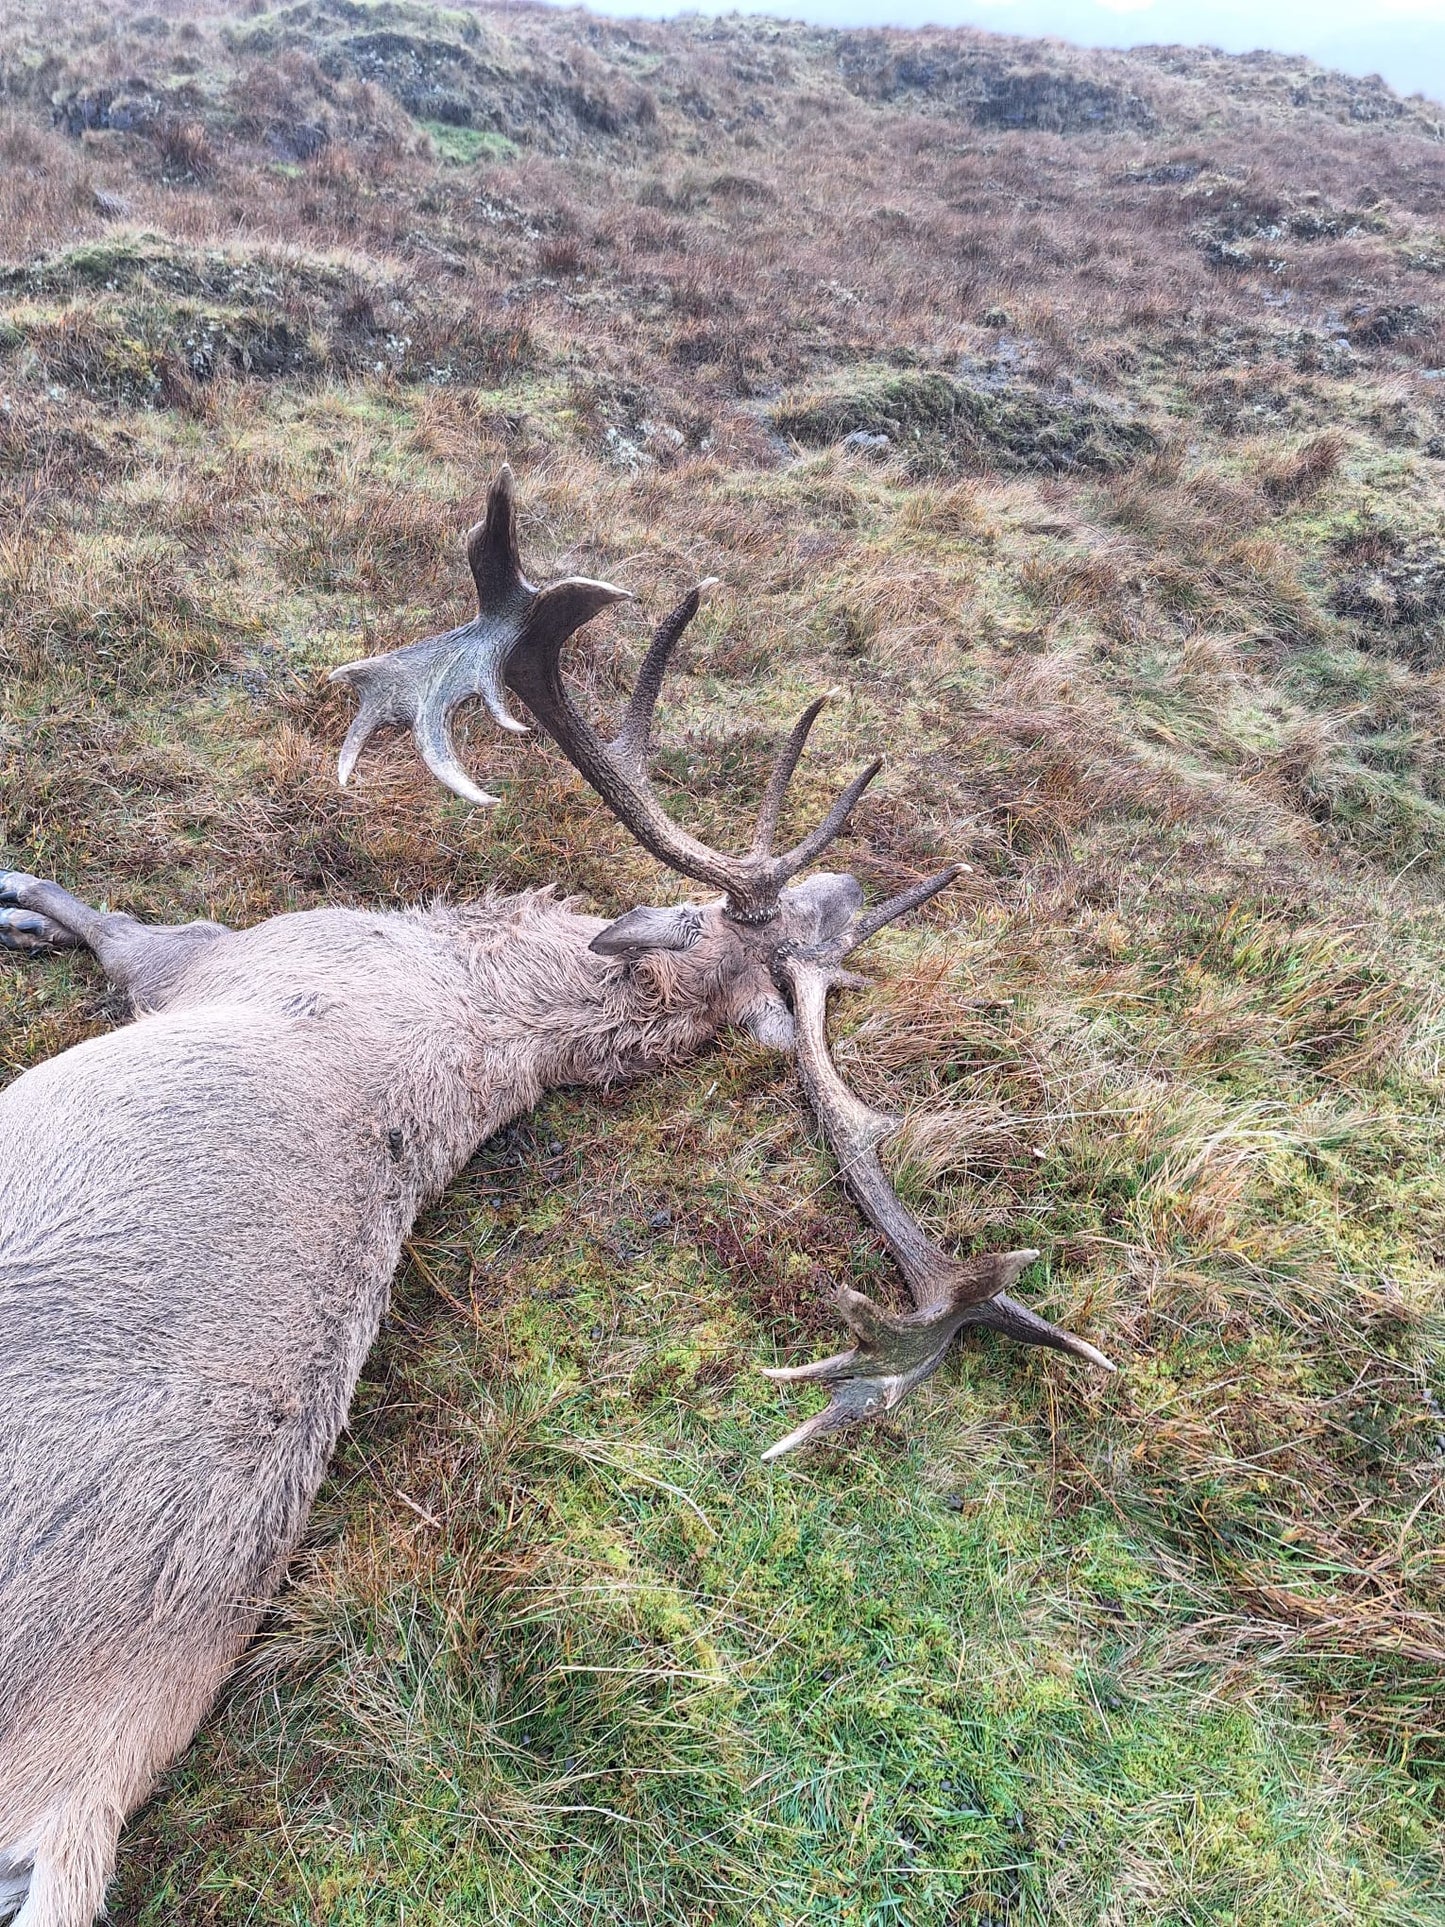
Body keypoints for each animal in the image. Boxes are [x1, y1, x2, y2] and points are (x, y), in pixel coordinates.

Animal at [0, 467, 1111, 1926]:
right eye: (777, 932)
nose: (853, 878)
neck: (476, 991)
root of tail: (75, 1804)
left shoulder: (214, 952)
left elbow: (94, 909)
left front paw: (11, 891)